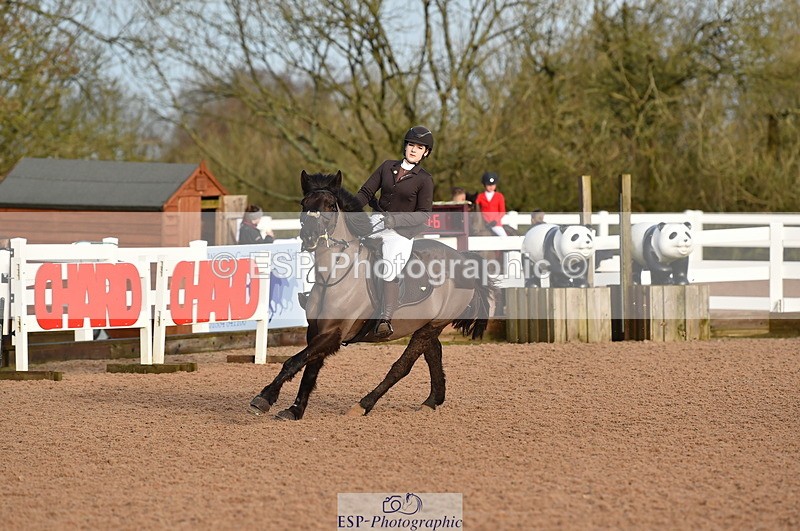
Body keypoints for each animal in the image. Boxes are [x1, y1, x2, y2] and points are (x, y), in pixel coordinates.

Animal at [249, 170, 498, 420]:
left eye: (330, 205)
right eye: (303, 203)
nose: (310, 237)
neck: (333, 274)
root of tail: (462, 257)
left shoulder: (334, 333)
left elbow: (294, 361)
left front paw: (265, 397)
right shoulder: (317, 330)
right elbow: (309, 368)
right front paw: (295, 409)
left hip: (432, 326)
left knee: (402, 366)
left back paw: (364, 404)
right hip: (426, 325)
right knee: (434, 353)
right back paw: (432, 400)